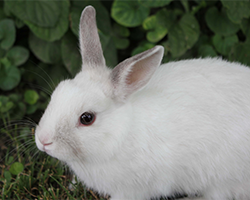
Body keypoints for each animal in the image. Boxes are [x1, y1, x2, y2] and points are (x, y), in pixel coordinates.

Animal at [35, 4, 250, 200]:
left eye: (87, 118)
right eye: (56, 94)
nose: (43, 141)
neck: (119, 135)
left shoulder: (132, 190)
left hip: (221, 177)